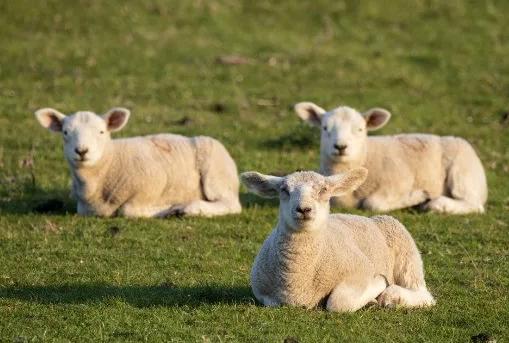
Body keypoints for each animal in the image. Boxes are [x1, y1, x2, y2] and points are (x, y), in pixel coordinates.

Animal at [34, 107, 241, 218]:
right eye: (65, 132)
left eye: (101, 132)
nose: (82, 151)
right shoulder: (84, 209)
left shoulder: (155, 184)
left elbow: (128, 211)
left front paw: (168, 209)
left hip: (216, 174)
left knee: (230, 204)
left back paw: (191, 208)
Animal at [240, 168, 434, 314]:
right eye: (284, 190)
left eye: (324, 190)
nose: (304, 209)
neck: (297, 279)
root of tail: (369, 218)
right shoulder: (263, 293)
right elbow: (271, 302)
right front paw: (371, 299)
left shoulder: (361, 269)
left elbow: (338, 303)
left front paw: (379, 284)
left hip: (406, 251)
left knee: (424, 295)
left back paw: (392, 296)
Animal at [294, 102, 488, 215]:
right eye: (325, 128)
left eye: (360, 129)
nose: (340, 146)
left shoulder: (401, 181)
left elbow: (372, 204)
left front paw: (416, 197)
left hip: (462, 173)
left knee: (474, 204)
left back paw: (437, 204)